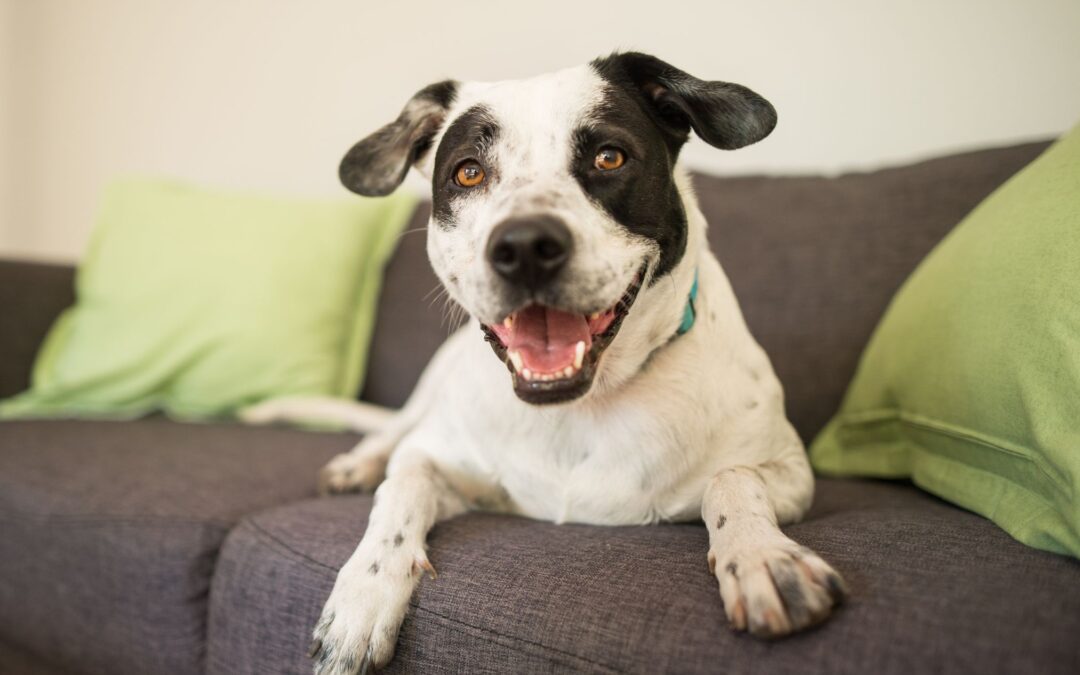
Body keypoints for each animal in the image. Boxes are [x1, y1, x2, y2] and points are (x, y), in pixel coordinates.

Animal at [243, 51, 842, 673]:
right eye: (468, 173)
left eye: (609, 156)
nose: (524, 246)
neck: (581, 406)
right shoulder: (445, 461)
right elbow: (401, 487)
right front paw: (364, 593)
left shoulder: (793, 473)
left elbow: (733, 477)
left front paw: (762, 557)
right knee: (390, 435)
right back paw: (357, 464)